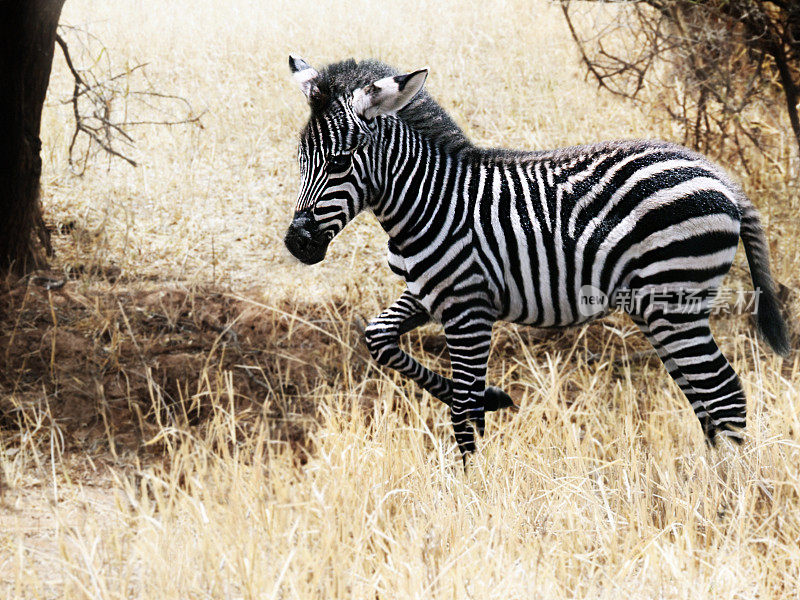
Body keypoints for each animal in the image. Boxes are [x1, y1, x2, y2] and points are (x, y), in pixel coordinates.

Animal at [282, 57, 788, 460]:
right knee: (705, 401)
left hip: (675, 303)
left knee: (724, 396)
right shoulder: (427, 293)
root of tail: (721, 177)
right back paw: (707, 487)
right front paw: (494, 398)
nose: (297, 244)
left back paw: (729, 500)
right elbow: (379, 339)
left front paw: (472, 494)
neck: (428, 199)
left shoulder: (467, 307)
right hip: (660, 311)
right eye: (300, 157)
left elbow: (463, 410)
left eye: (342, 161)